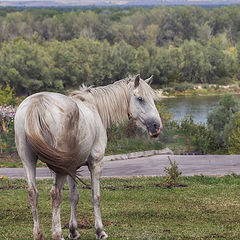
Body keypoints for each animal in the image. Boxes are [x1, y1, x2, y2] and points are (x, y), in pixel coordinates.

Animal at [14, 74, 162, 239]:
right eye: (140, 99)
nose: (156, 126)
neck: (94, 107)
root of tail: (37, 103)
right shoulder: (95, 163)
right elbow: (95, 197)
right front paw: (100, 231)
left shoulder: (71, 168)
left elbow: (73, 197)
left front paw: (74, 231)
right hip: (58, 169)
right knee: (55, 194)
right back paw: (57, 234)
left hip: (29, 161)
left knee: (33, 193)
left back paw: (38, 234)